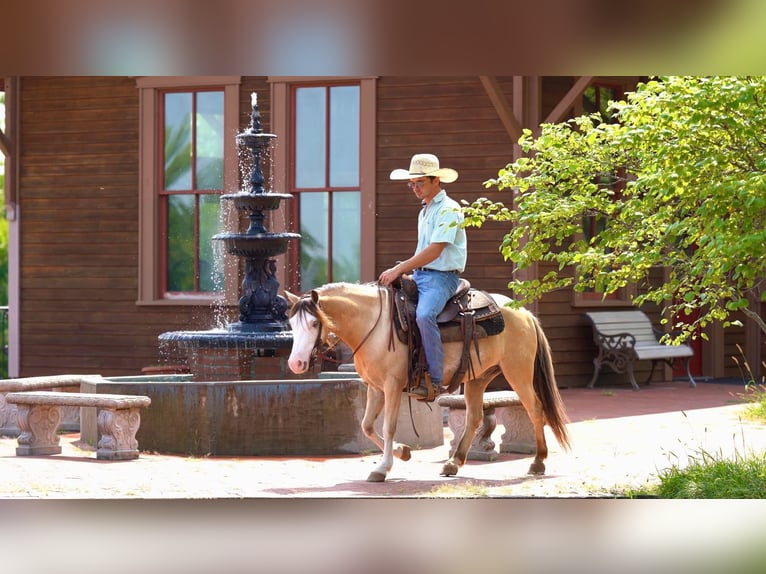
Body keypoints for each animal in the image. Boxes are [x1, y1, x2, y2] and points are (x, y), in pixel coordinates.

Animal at [285, 281, 571, 482]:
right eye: (291, 323)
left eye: (314, 323)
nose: (295, 363)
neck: (373, 326)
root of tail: (525, 313)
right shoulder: (374, 387)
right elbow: (366, 426)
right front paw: (403, 451)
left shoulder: (392, 386)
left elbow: (388, 426)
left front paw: (383, 468)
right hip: (478, 379)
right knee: (474, 417)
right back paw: (453, 463)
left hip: (517, 372)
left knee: (535, 409)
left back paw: (538, 462)